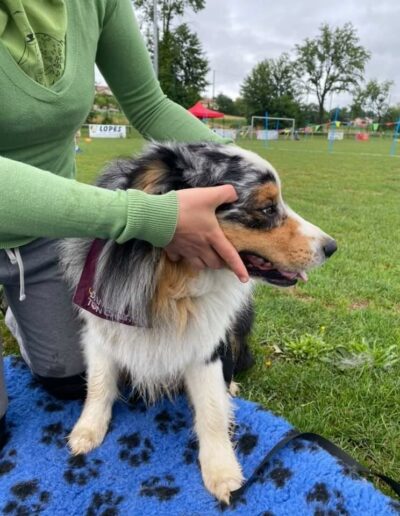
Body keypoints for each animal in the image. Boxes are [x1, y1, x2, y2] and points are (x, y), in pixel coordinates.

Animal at [59, 142, 336, 504]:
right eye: (266, 208)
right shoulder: (101, 329)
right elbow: (99, 384)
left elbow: (212, 410)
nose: (332, 247)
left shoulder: (207, 346)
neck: (170, 282)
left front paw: (223, 474)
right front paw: (87, 431)